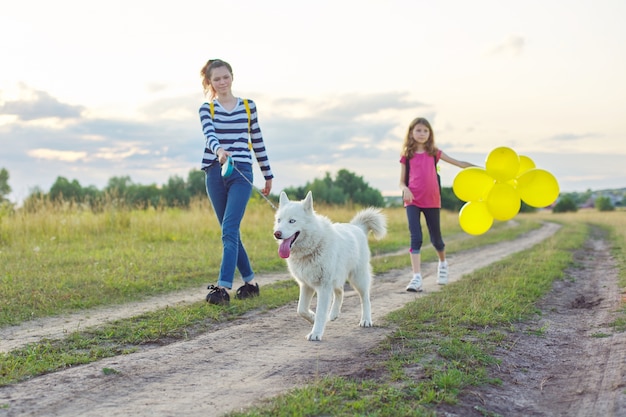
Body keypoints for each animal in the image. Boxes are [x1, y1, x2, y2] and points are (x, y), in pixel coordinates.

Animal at [272, 190, 386, 340]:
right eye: (279, 220)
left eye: (292, 221)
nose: (277, 234)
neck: (313, 246)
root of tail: (357, 227)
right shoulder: (306, 285)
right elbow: (301, 309)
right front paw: (312, 318)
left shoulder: (323, 287)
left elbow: (320, 312)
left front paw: (315, 333)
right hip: (337, 279)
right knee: (340, 292)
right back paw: (333, 314)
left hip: (358, 278)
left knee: (365, 298)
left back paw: (366, 320)